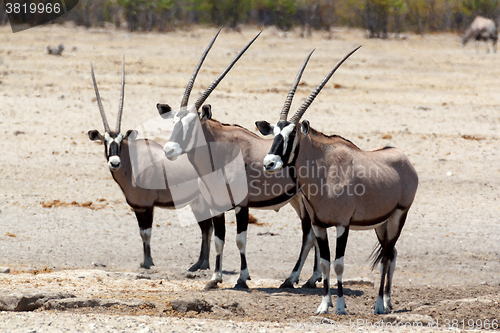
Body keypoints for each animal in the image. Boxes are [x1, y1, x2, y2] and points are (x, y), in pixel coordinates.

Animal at [88, 57, 223, 272]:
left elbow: (147, 233)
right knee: (206, 227)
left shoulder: (146, 206)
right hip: (197, 201)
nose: (115, 162)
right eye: (105, 141)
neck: (132, 163)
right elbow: (142, 233)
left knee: (207, 227)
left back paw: (201, 264)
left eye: (120, 141)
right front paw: (146, 261)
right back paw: (200, 263)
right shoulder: (137, 207)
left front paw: (147, 263)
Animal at [160, 33, 324, 290]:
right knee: (312, 235)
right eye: (174, 121)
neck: (221, 154)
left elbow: (240, 240)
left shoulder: (242, 205)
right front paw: (215, 278)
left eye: (192, 124)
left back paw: (296, 278)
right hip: (298, 201)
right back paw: (311, 278)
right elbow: (219, 240)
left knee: (309, 234)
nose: (170, 149)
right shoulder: (216, 205)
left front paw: (242, 278)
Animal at [258, 47, 418, 314]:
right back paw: (387, 301)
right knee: (392, 254)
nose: (269, 163)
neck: (323, 172)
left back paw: (379, 305)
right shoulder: (319, 225)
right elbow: (324, 263)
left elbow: (339, 263)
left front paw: (341, 306)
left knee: (386, 257)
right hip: (382, 224)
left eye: (292, 134)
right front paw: (324, 305)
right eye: (275, 133)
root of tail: (404, 159)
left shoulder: (343, 224)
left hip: (398, 217)